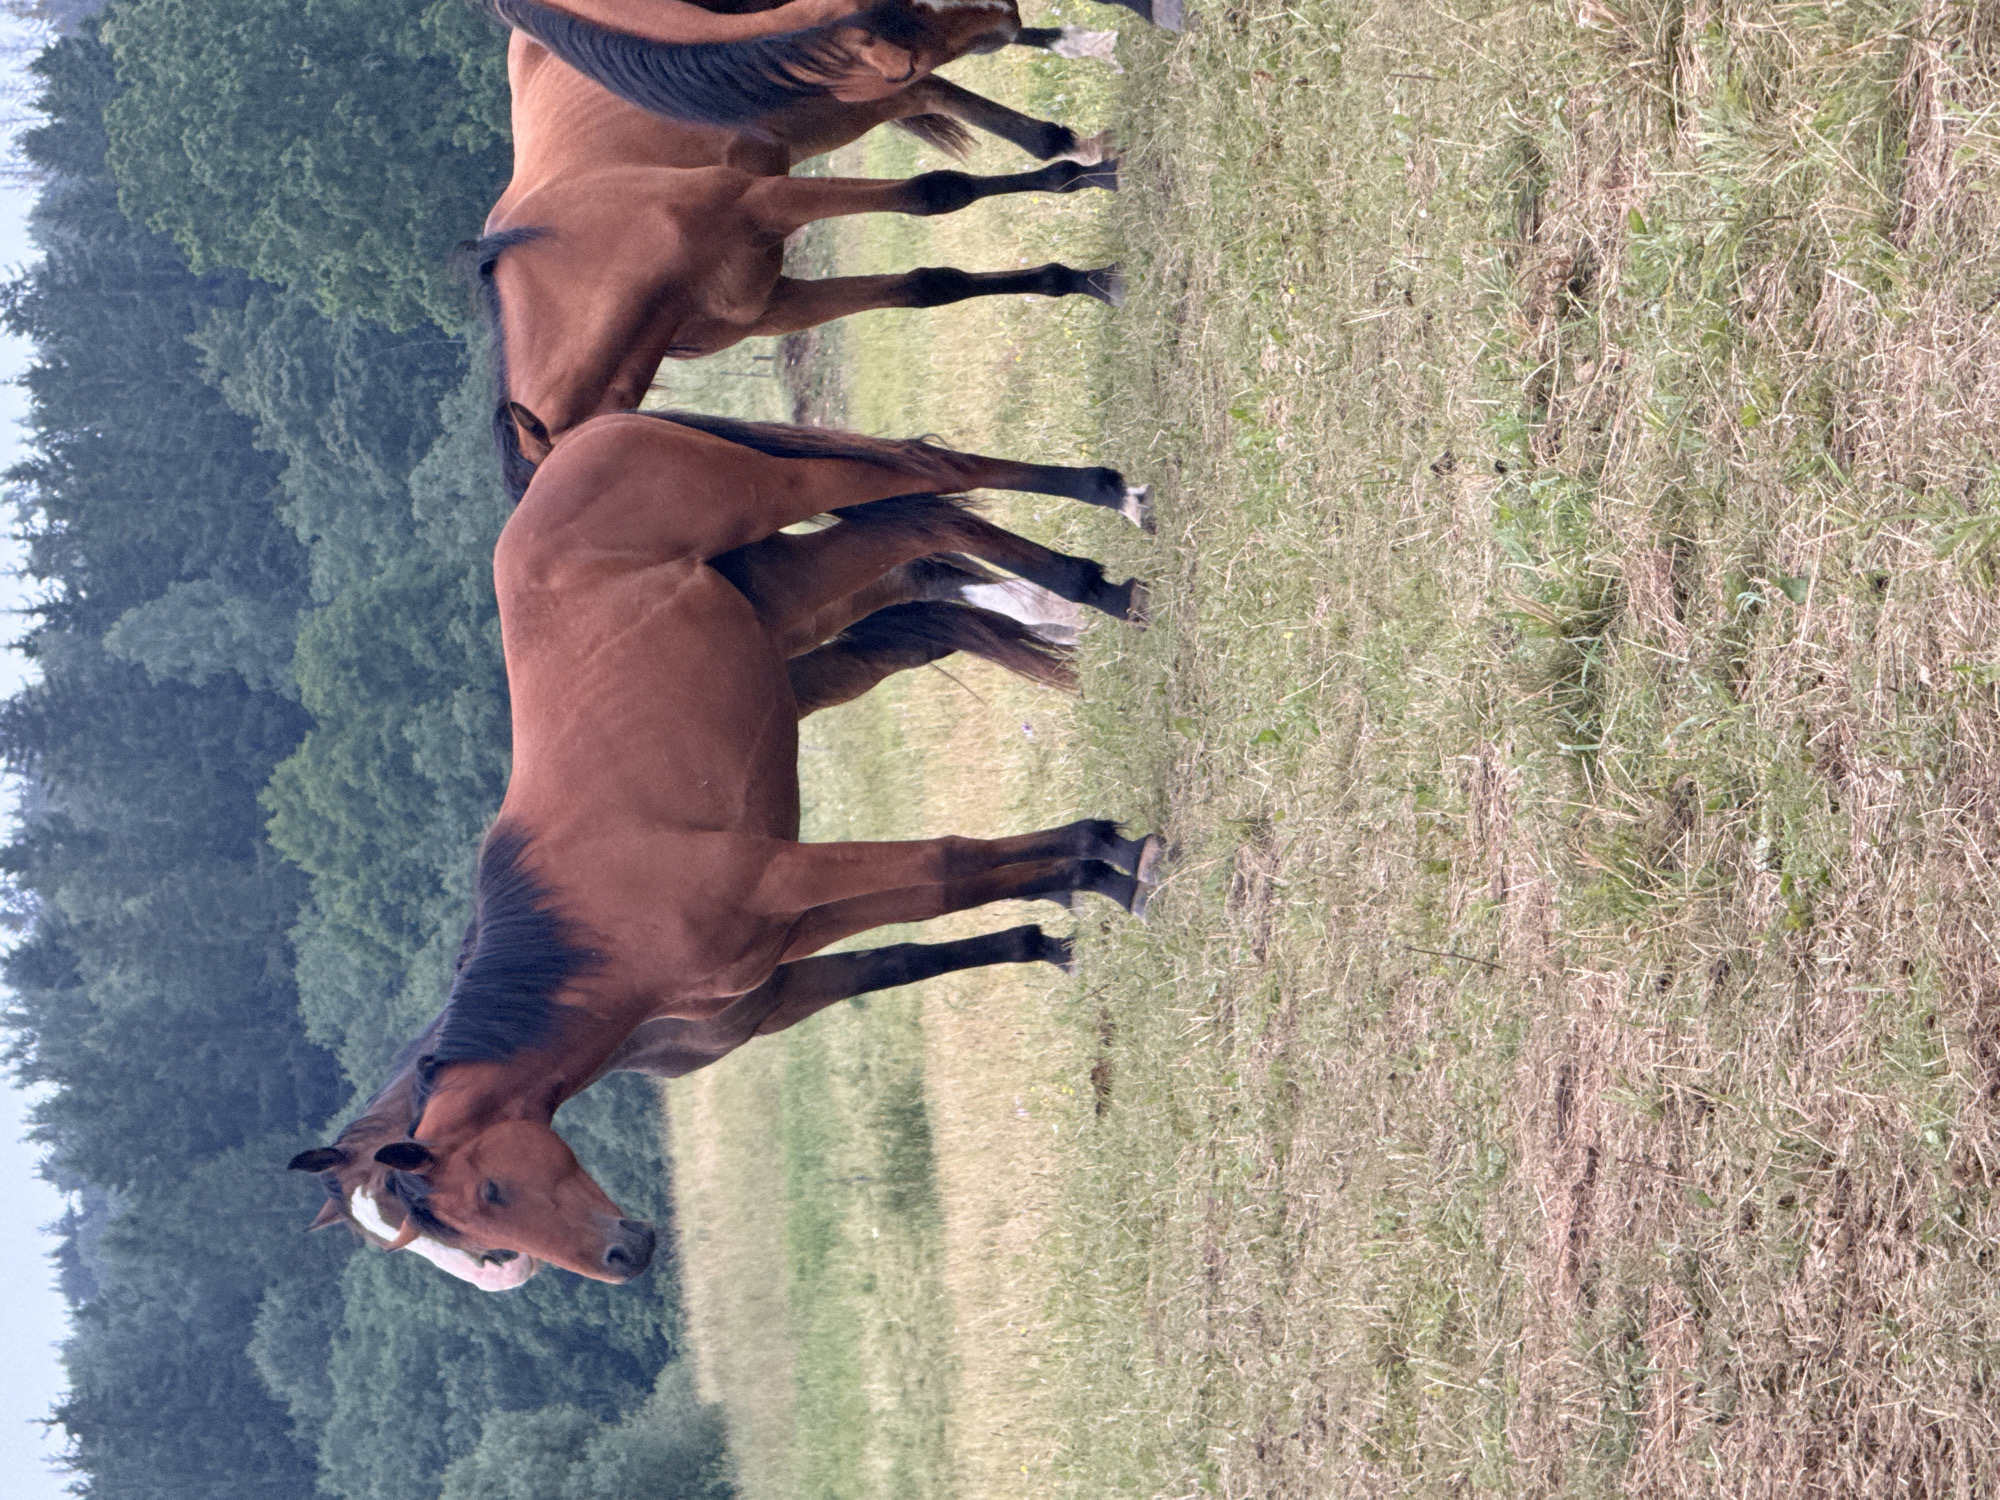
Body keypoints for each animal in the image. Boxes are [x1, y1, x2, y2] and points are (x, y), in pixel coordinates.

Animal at [289, 410, 1161, 1282]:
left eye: (489, 1196)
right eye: (469, 1229)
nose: (625, 1257)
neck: (597, 939)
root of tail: (576, 445)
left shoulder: (786, 875)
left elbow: (947, 864)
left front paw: (1118, 869)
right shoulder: (792, 933)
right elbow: (923, 927)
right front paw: (1071, 893)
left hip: (784, 495)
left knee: (929, 484)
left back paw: (1108, 548)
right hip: (798, 582)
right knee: (917, 535)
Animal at [474, 35, 1127, 501]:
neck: (603, 248)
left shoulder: (768, 202)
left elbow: (938, 192)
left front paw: (1094, 244)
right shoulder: (777, 305)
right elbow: (927, 286)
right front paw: (1083, 277)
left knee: (928, 93)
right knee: (928, 93)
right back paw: (1076, 154)